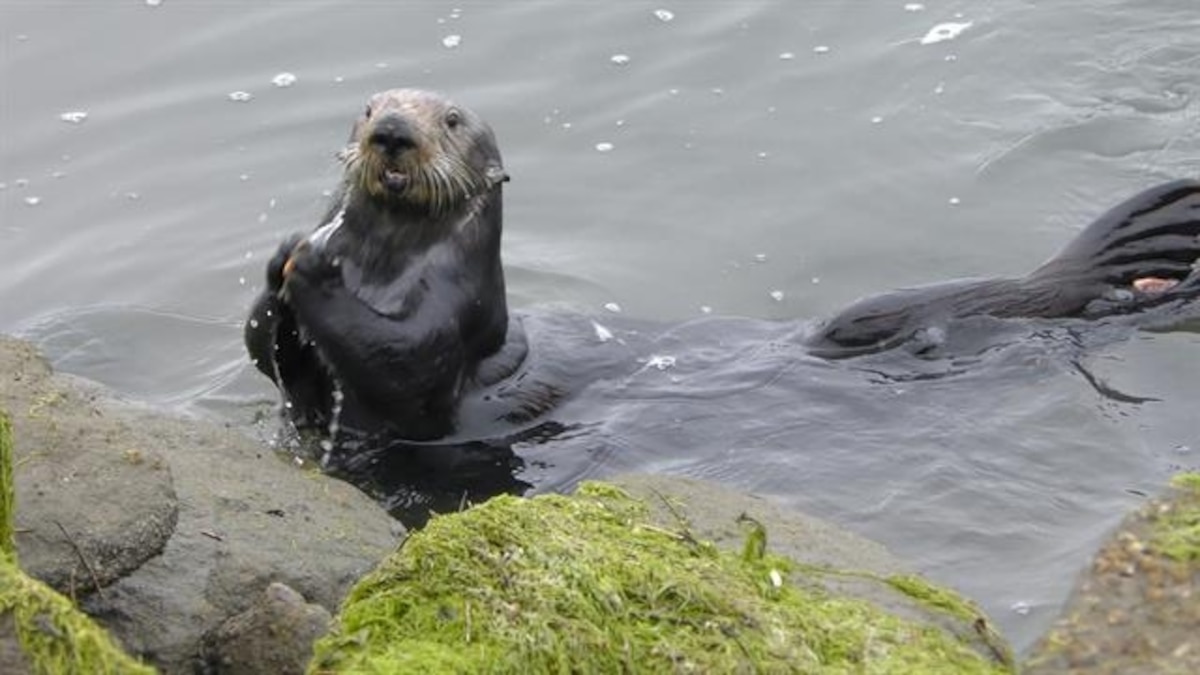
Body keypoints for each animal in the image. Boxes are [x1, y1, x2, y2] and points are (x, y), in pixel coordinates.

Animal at [246, 88, 1200, 445]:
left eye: (448, 119)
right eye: (369, 106)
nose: (390, 133)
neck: (388, 264)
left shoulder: (454, 319)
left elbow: (401, 365)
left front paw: (308, 266)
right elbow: (277, 362)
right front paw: (275, 267)